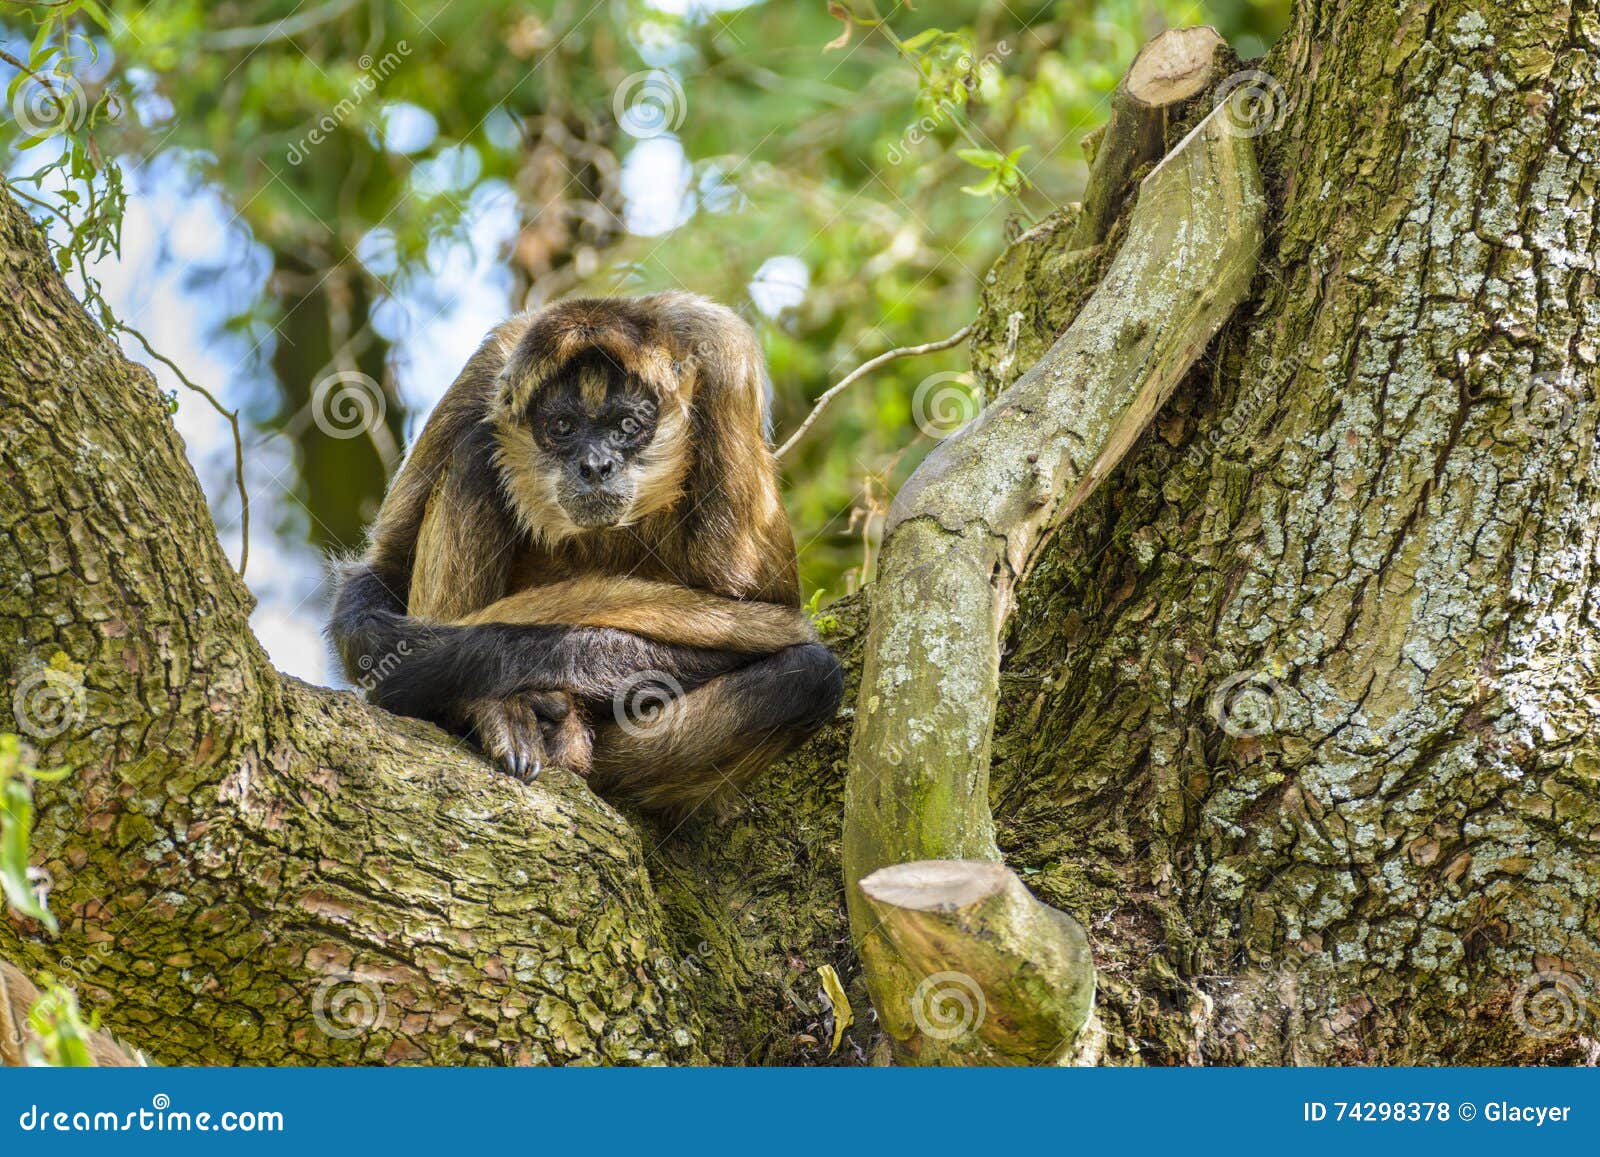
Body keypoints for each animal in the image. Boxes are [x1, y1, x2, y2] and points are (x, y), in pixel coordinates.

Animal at [329, 294, 844, 819]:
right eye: (563, 427)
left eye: (626, 427)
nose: (595, 465)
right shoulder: (491, 365)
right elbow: (384, 575)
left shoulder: (724, 360)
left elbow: (772, 621)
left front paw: (475, 661)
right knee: (478, 448)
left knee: (810, 678)